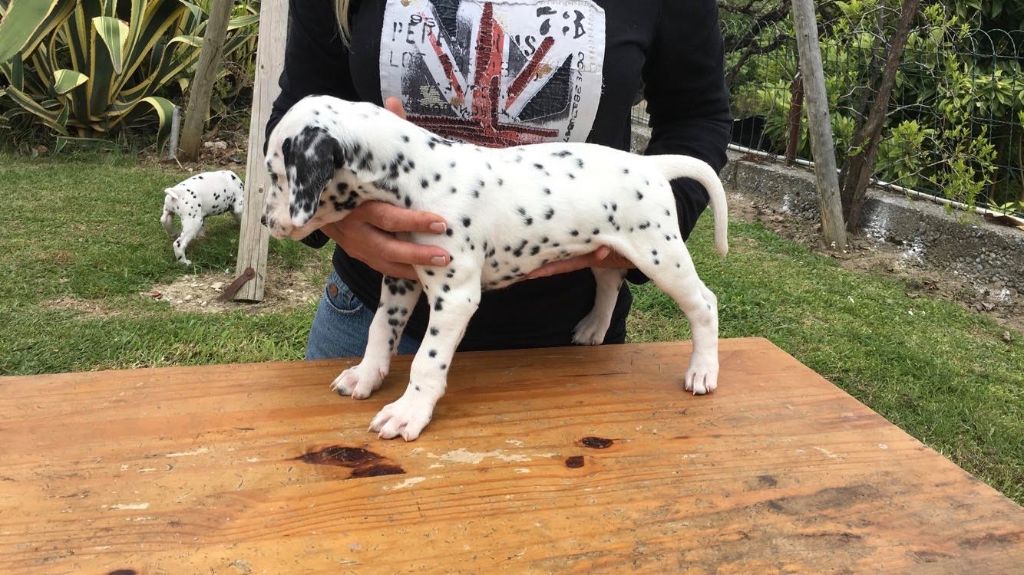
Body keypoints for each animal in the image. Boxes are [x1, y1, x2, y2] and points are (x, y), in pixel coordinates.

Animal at [263, 95, 728, 441]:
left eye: (275, 173)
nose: (267, 221)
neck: (422, 177)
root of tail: (651, 165)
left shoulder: (455, 297)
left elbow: (427, 360)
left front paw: (409, 411)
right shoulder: (400, 276)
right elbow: (381, 329)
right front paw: (366, 374)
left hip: (660, 253)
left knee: (704, 303)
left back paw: (702, 370)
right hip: (609, 245)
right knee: (609, 278)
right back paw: (595, 327)